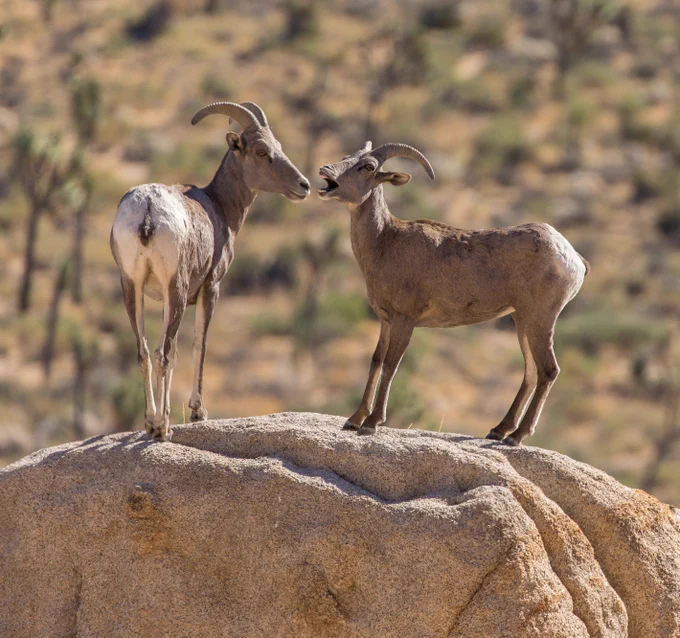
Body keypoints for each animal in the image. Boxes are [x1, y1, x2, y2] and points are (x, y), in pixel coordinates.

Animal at [111, 101, 310, 441]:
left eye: (278, 147)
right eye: (261, 151)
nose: (304, 186)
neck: (219, 205)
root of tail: (147, 210)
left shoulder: (158, 297)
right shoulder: (210, 288)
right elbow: (198, 345)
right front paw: (198, 412)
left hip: (132, 288)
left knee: (146, 351)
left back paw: (150, 422)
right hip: (176, 289)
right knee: (164, 352)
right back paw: (163, 427)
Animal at [317, 141, 588, 445]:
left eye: (368, 166)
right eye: (346, 157)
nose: (325, 171)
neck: (385, 243)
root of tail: (574, 258)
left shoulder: (404, 320)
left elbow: (390, 365)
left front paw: (371, 423)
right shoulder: (386, 320)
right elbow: (375, 361)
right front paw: (353, 420)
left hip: (540, 318)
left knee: (548, 370)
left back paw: (516, 436)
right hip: (522, 321)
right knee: (531, 372)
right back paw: (498, 430)